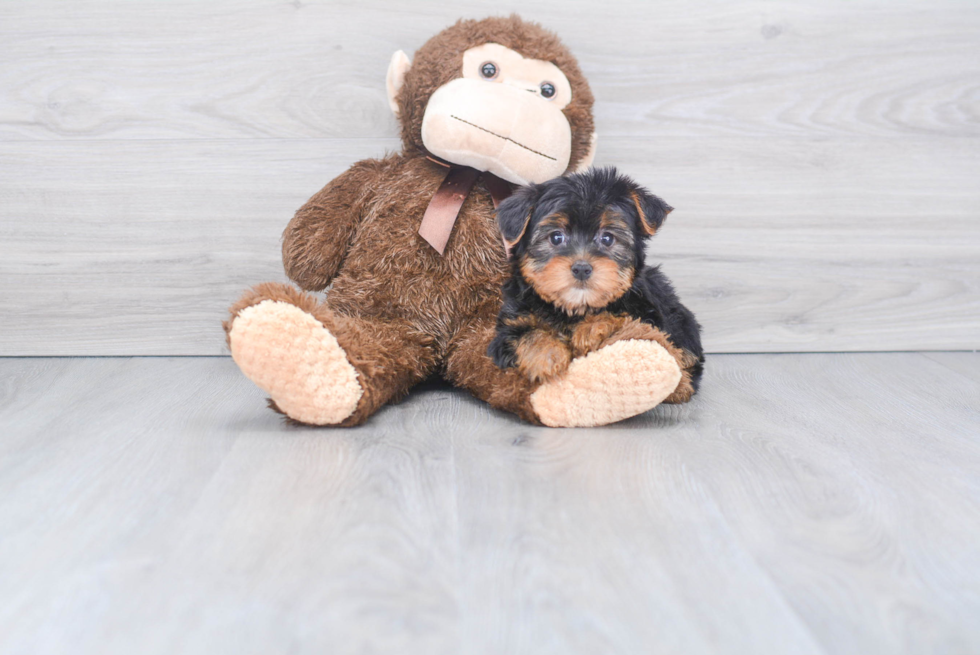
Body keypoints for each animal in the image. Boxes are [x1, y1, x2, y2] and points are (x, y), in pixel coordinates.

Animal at [490, 168, 704, 404]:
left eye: (607, 238)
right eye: (556, 237)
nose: (582, 268)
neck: (574, 308)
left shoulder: (649, 315)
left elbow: (626, 317)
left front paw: (591, 328)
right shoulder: (508, 327)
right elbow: (524, 333)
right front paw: (546, 356)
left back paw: (680, 386)